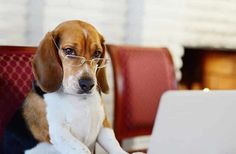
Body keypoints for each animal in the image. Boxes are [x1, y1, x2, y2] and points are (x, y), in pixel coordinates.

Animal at [2, 19, 130, 153]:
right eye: (69, 51)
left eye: (97, 53)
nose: (87, 84)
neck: (79, 100)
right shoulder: (58, 132)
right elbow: (83, 149)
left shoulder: (103, 125)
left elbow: (115, 145)